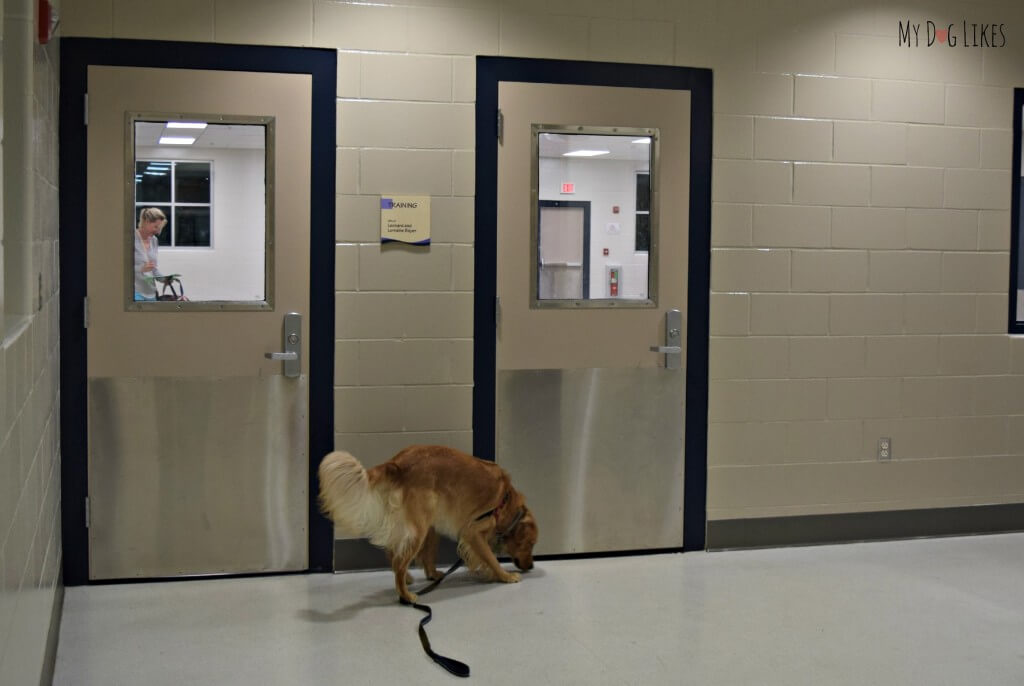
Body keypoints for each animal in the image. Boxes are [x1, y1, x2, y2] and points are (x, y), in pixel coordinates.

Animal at [319, 446, 540, 602]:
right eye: (530, 544)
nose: (531, 566)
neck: (504, 500)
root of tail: (397, 463)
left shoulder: (441, 528)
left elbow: (430, 555)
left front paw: (432, 573)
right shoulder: (472, 532)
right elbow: (491, 558)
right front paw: (505, 576)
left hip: (422, 524)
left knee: (394, 552)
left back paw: (412, 578)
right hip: (419, 529)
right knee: (399, 561)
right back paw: (406, 595)